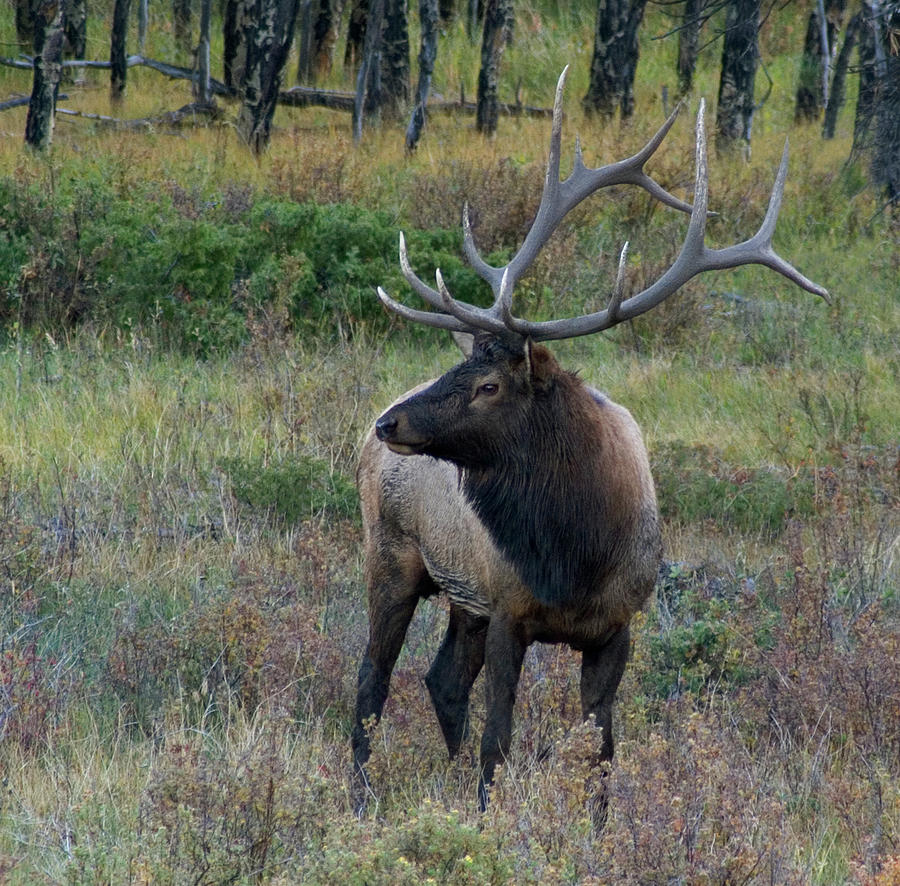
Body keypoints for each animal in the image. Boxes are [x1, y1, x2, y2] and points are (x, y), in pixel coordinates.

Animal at [350, 67, 824, 820]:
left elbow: (601, 749)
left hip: (462, 597)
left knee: (441, 680)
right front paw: (485, 821)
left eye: (489, 384)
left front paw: (597, 829)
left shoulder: (615, 625)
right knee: (372, 679)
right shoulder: (510, 609)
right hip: (392, 556)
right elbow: (499, 739)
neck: (576, 553)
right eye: (464, 366)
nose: (388, 423)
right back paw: (361, 795)